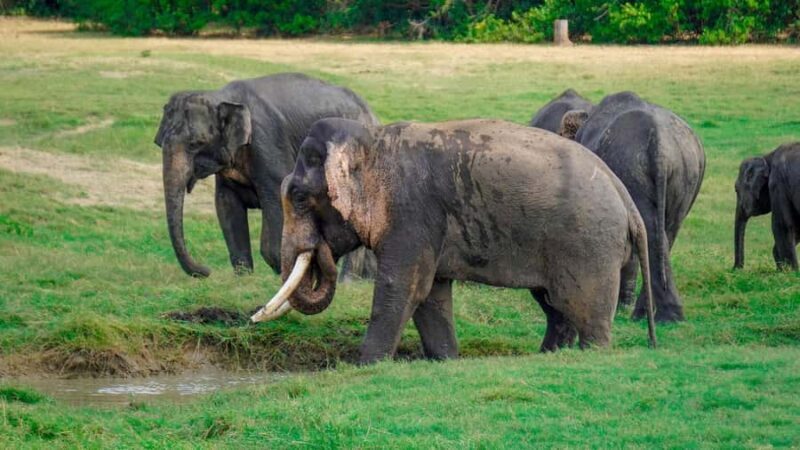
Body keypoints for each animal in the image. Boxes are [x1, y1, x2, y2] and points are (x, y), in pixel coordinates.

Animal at [154, 73, 378, 280]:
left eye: (195, 144)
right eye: (159, 142)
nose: (206, 271)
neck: (222, 96)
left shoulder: (267, 142)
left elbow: (277, 198)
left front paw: (282, 274)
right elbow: (226, 204)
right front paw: (244, 276)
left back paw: (348, 281)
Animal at [250, 118, 656, 363]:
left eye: (299, 197)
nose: (253, 318)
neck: (373, 141)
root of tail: (624, 196)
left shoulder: (411, 214)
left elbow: (403, 288)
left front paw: (365, 365)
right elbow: (431, 295)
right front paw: (446, 360)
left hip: (588, 244)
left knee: (584, 310)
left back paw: (590, 355)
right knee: (556, 305)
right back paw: (548, 356)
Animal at [532, 90, 706, 323]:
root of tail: (660, 144)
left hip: (633, 171)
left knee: (652, 233)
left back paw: (657, 316)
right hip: (686, 174)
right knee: (666, 233)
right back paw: (658, 316)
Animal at [734, 142, 800, 271]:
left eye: (736, 189)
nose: (735, 270)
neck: (767, 156)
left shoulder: (778, 183)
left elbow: (782, 225)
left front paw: (791, 271)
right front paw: (782, 270)